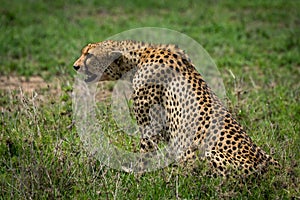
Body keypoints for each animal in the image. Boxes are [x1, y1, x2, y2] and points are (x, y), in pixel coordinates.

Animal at [74, 39, 280, 177]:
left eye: (89, 55)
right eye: (84, 52)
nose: (75, 66)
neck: (139, 57)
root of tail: (269, 168)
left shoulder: (151, 126)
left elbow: (144, 154)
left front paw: (137, 176)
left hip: (203, 153)